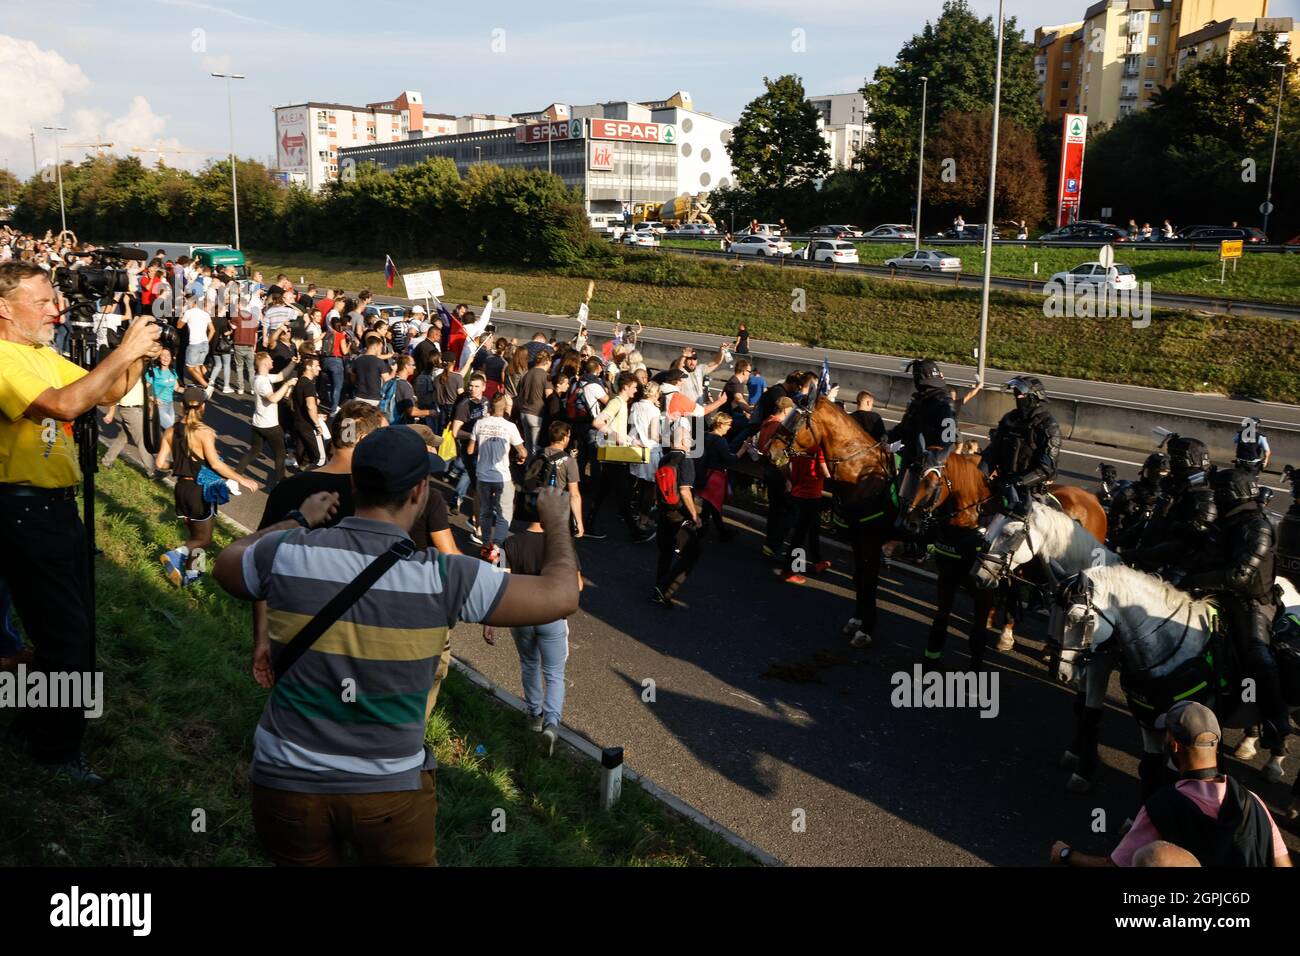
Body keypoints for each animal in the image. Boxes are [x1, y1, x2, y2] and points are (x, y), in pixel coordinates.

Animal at [904, 452, 1107, 671]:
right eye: (912, 475)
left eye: (933, 484)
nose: (910, 522)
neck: (969, 525)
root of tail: (1093, 499)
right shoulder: (948, 579)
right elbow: (940, 624)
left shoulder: (983, 589)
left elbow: (977, 636)